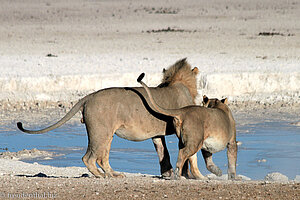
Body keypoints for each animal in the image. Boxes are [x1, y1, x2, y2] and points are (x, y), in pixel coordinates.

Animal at [16, 58, 199, 178]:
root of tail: (89, 96)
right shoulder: (185, 128)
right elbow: (189, 154)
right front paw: (191, 176)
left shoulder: (157, 134)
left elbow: (163, 153)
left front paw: (168, 174)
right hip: (101, 132)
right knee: (89, 158)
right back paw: (102, 176)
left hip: (106, 134)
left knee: (102, 158)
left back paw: (114, 174)